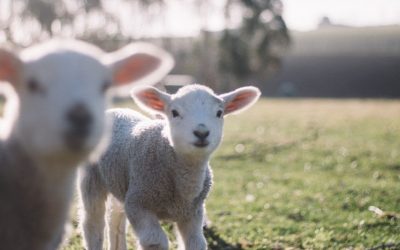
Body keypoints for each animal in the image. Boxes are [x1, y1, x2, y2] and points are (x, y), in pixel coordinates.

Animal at [79, 84, 260, 250]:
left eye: (219, 113)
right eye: (174, 113)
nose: (201, 133)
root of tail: (115, 110)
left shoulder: (193, 213)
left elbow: (196, 243)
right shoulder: (138, 204)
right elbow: (155, 241)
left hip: (120, 182)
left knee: (115, 220)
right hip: (91, 179)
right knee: (92, 222)